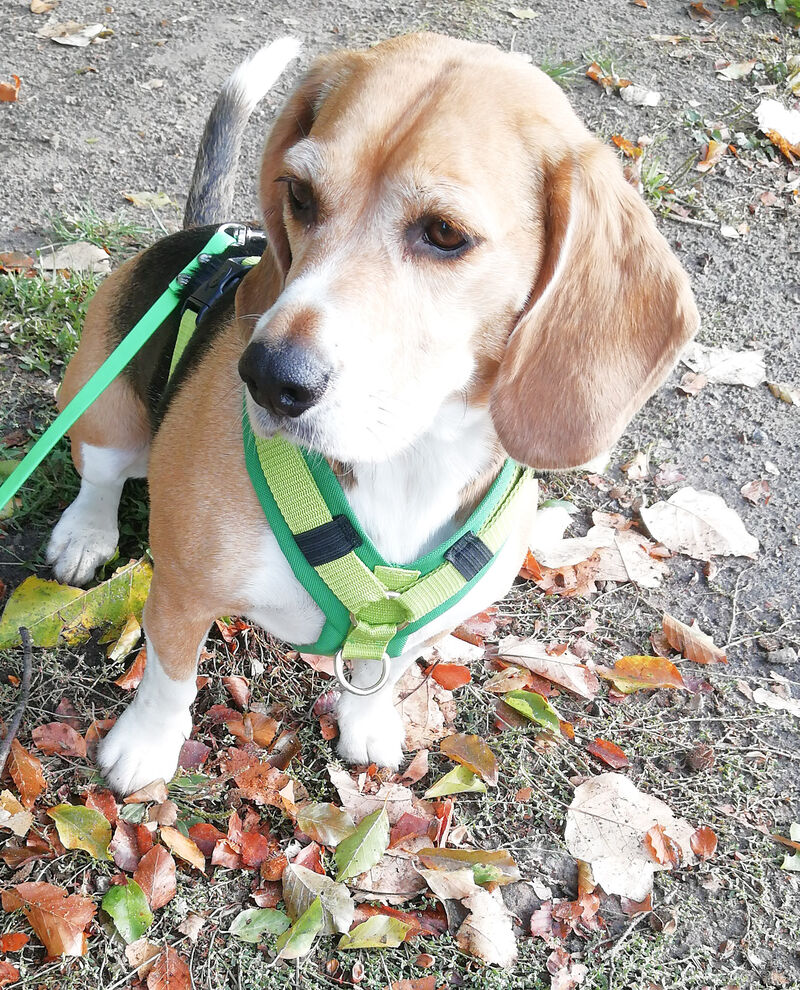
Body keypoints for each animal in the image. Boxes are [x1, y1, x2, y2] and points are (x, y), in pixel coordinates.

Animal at [45, 34, 699, 795]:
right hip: (106, 415)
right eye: (298, 195)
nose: (267, 379)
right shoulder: (181, 589)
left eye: (444, 233)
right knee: (101, 478)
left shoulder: (406, 629)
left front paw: (368, 725)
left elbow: (379, 672)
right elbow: (169, 677)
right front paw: (146, 748)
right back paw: (85, 535)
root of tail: (199, 234)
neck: (409, 457)